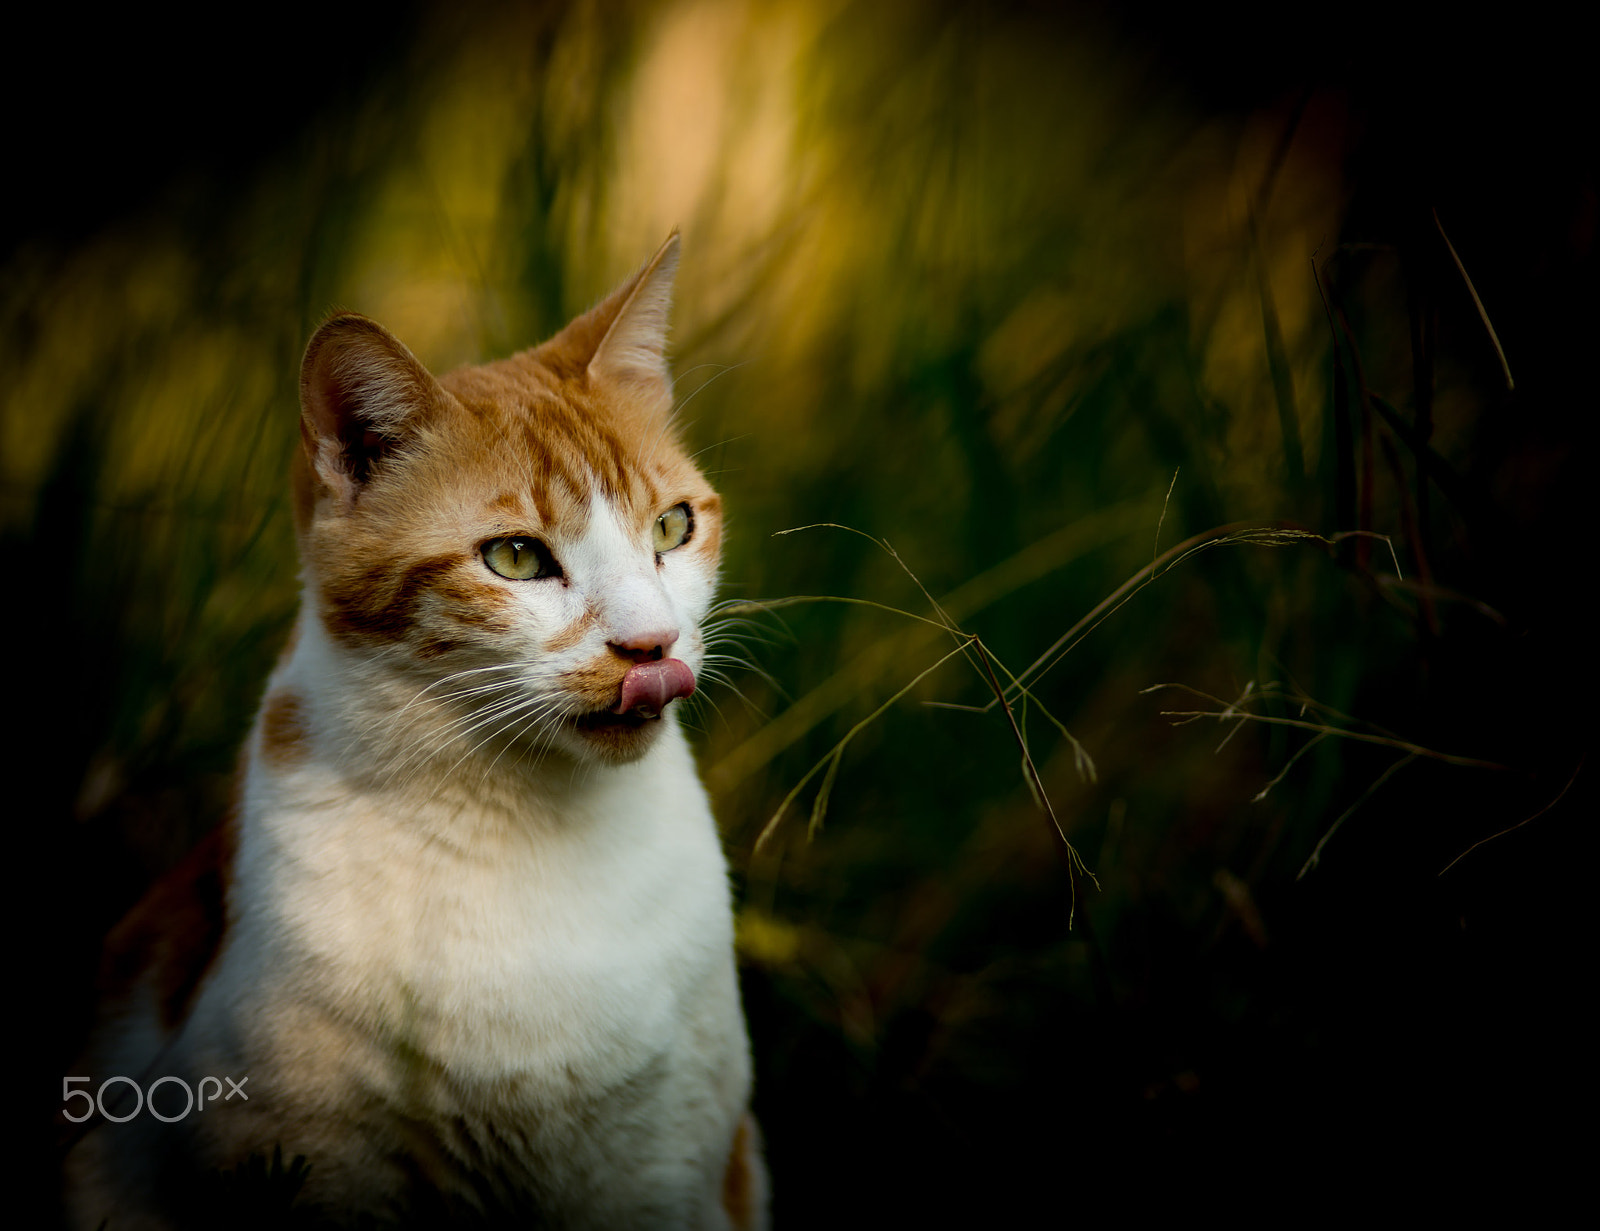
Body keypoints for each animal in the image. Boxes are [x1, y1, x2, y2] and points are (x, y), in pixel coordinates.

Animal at [60, 235, 761, 1222]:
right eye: (516, 557)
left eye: (671, 527)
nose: (652, 645)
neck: (529, 832)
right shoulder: (286, 1150)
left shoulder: (671, 1172)